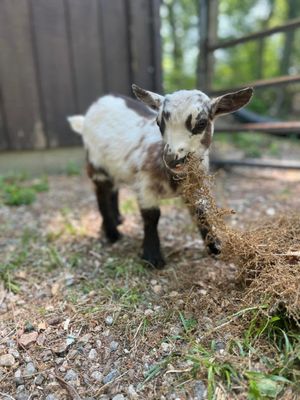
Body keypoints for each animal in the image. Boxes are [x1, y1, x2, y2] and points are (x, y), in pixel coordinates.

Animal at [68, 86, 253, 268]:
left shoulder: (196, 187)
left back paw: (118, 219)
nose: (173, 159)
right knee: (101, 194)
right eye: (159, 123)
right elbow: (151, 217)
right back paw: (112, 233)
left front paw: (215, 248)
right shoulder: (145, 186)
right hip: (95, 163)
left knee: (113, 190)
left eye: (201, 123)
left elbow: (200, 213)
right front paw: (152, 257)